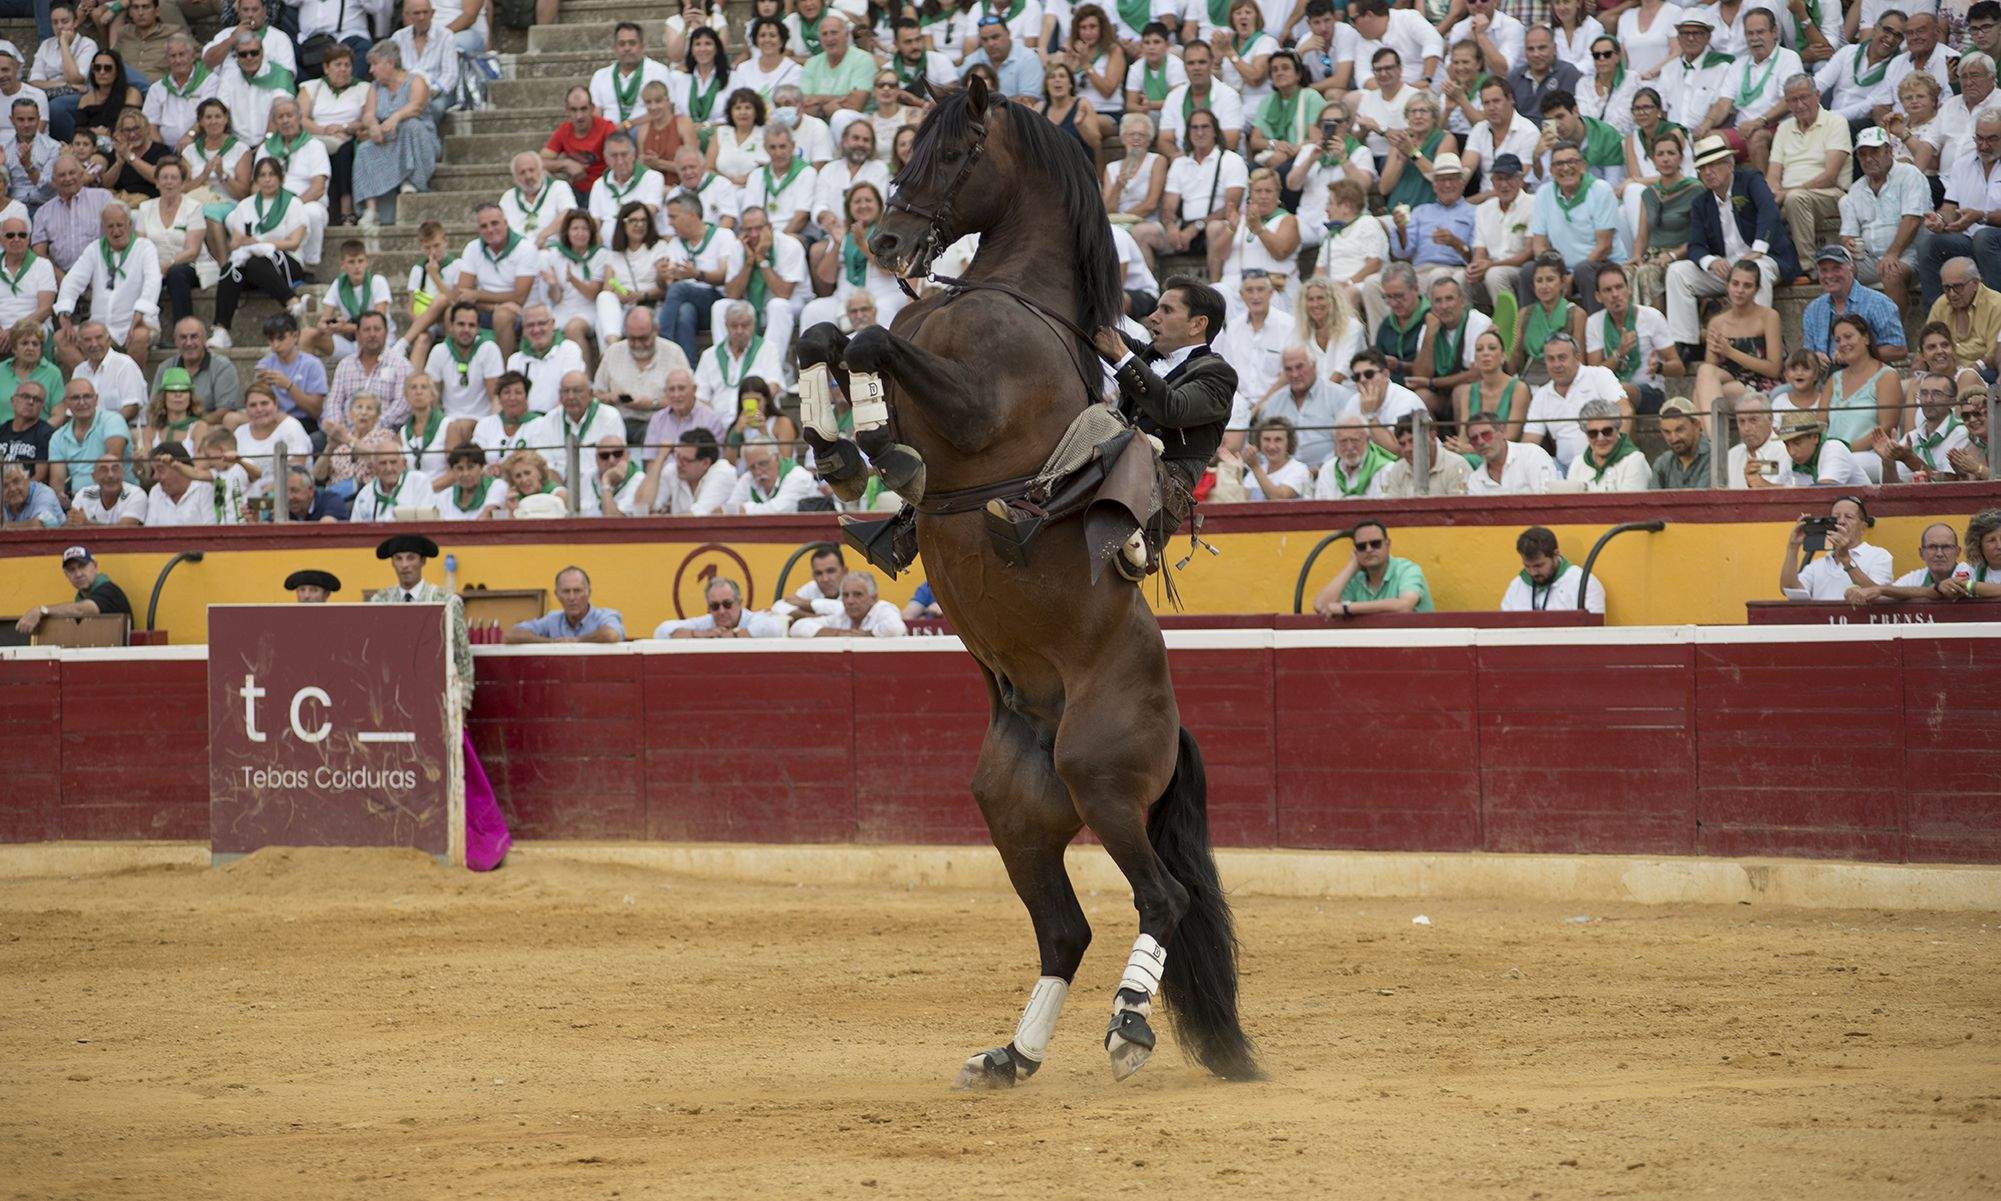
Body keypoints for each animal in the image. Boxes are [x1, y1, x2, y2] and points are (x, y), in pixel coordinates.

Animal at [795, 74, 1260, 1088]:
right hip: (1013, 807)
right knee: (1065, 928)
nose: (884, 241)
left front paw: (872, 443)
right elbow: (828, 334)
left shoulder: (974, 409)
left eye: (956, 151)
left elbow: (871, 346)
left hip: (1103, 779)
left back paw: (1127, 1029)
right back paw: (1011, 1054)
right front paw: (837, 448)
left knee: (1161, 898)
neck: (1005, 293)